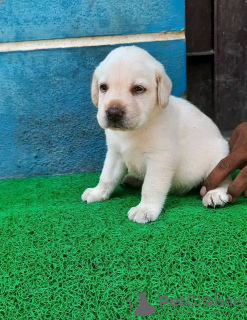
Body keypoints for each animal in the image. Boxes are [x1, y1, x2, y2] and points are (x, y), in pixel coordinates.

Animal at [82, 45, 231, 222]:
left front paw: (145, 209)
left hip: (219, 156)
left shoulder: (161, 158)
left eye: (138, 89)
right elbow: (107, 176)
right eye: (103, 87)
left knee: (222, 180)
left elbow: (151, 186)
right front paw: (98, 192)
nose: (113, 112)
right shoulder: (115, 153)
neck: (136, 129)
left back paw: (215, 194)